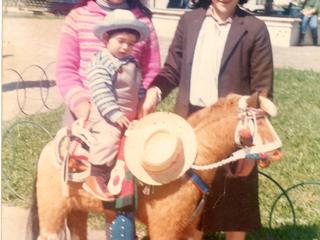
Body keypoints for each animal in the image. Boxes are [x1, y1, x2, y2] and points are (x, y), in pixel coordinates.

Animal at [26, 92, 282, 240]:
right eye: (258, 121)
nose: (278, 151)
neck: (189, 165)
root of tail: (49, 148)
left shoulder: (191, 230)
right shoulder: (163, 229)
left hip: (77, 210)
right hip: (52, 213)